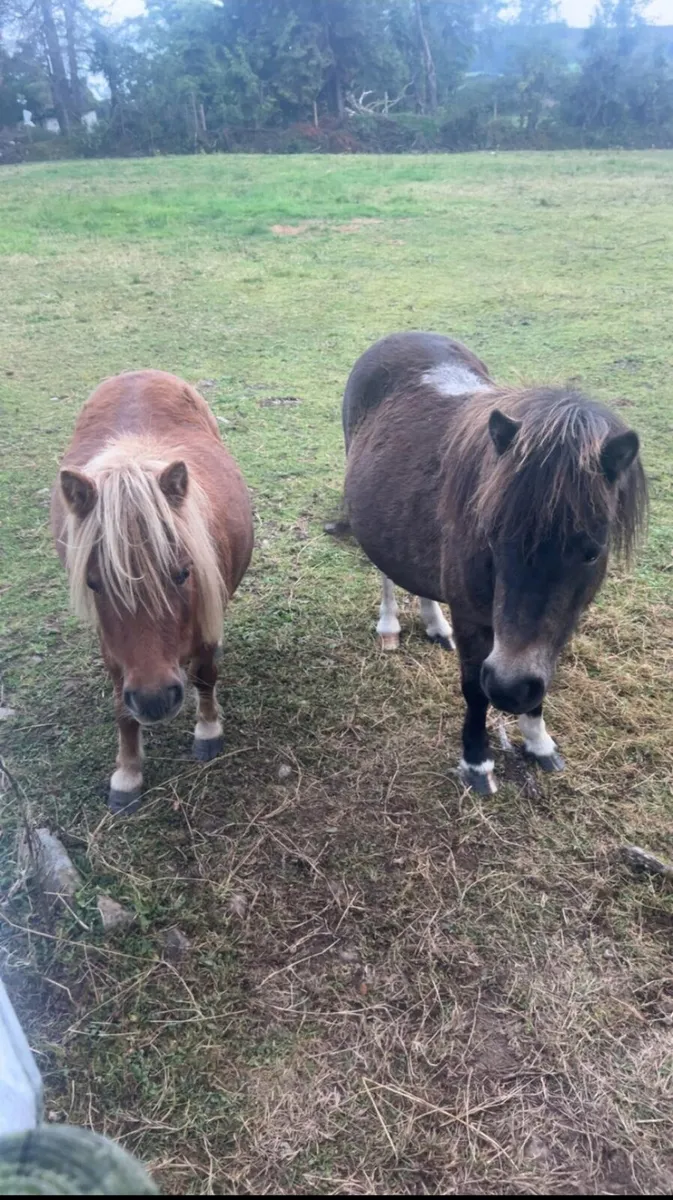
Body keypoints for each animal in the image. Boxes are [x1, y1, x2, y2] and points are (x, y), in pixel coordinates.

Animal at [51, 370, 253, 814]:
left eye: (182, 573)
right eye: (94, 582)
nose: (155, 700)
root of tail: (136, 374)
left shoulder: (206, 619)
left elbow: (205, 674)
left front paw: (208, 730)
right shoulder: (114, 651)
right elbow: (121, 708)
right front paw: (128, 772)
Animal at [340, 332, 647, 795]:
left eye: (591, 551)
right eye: (493, 535)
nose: (510, 689)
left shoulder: (559, 625)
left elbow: (542, 675)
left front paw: (538, 741)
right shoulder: (474, 619)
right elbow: (473, 688)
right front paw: (476, 761)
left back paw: (435, 625)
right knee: (387, 575)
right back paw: (389, 626)